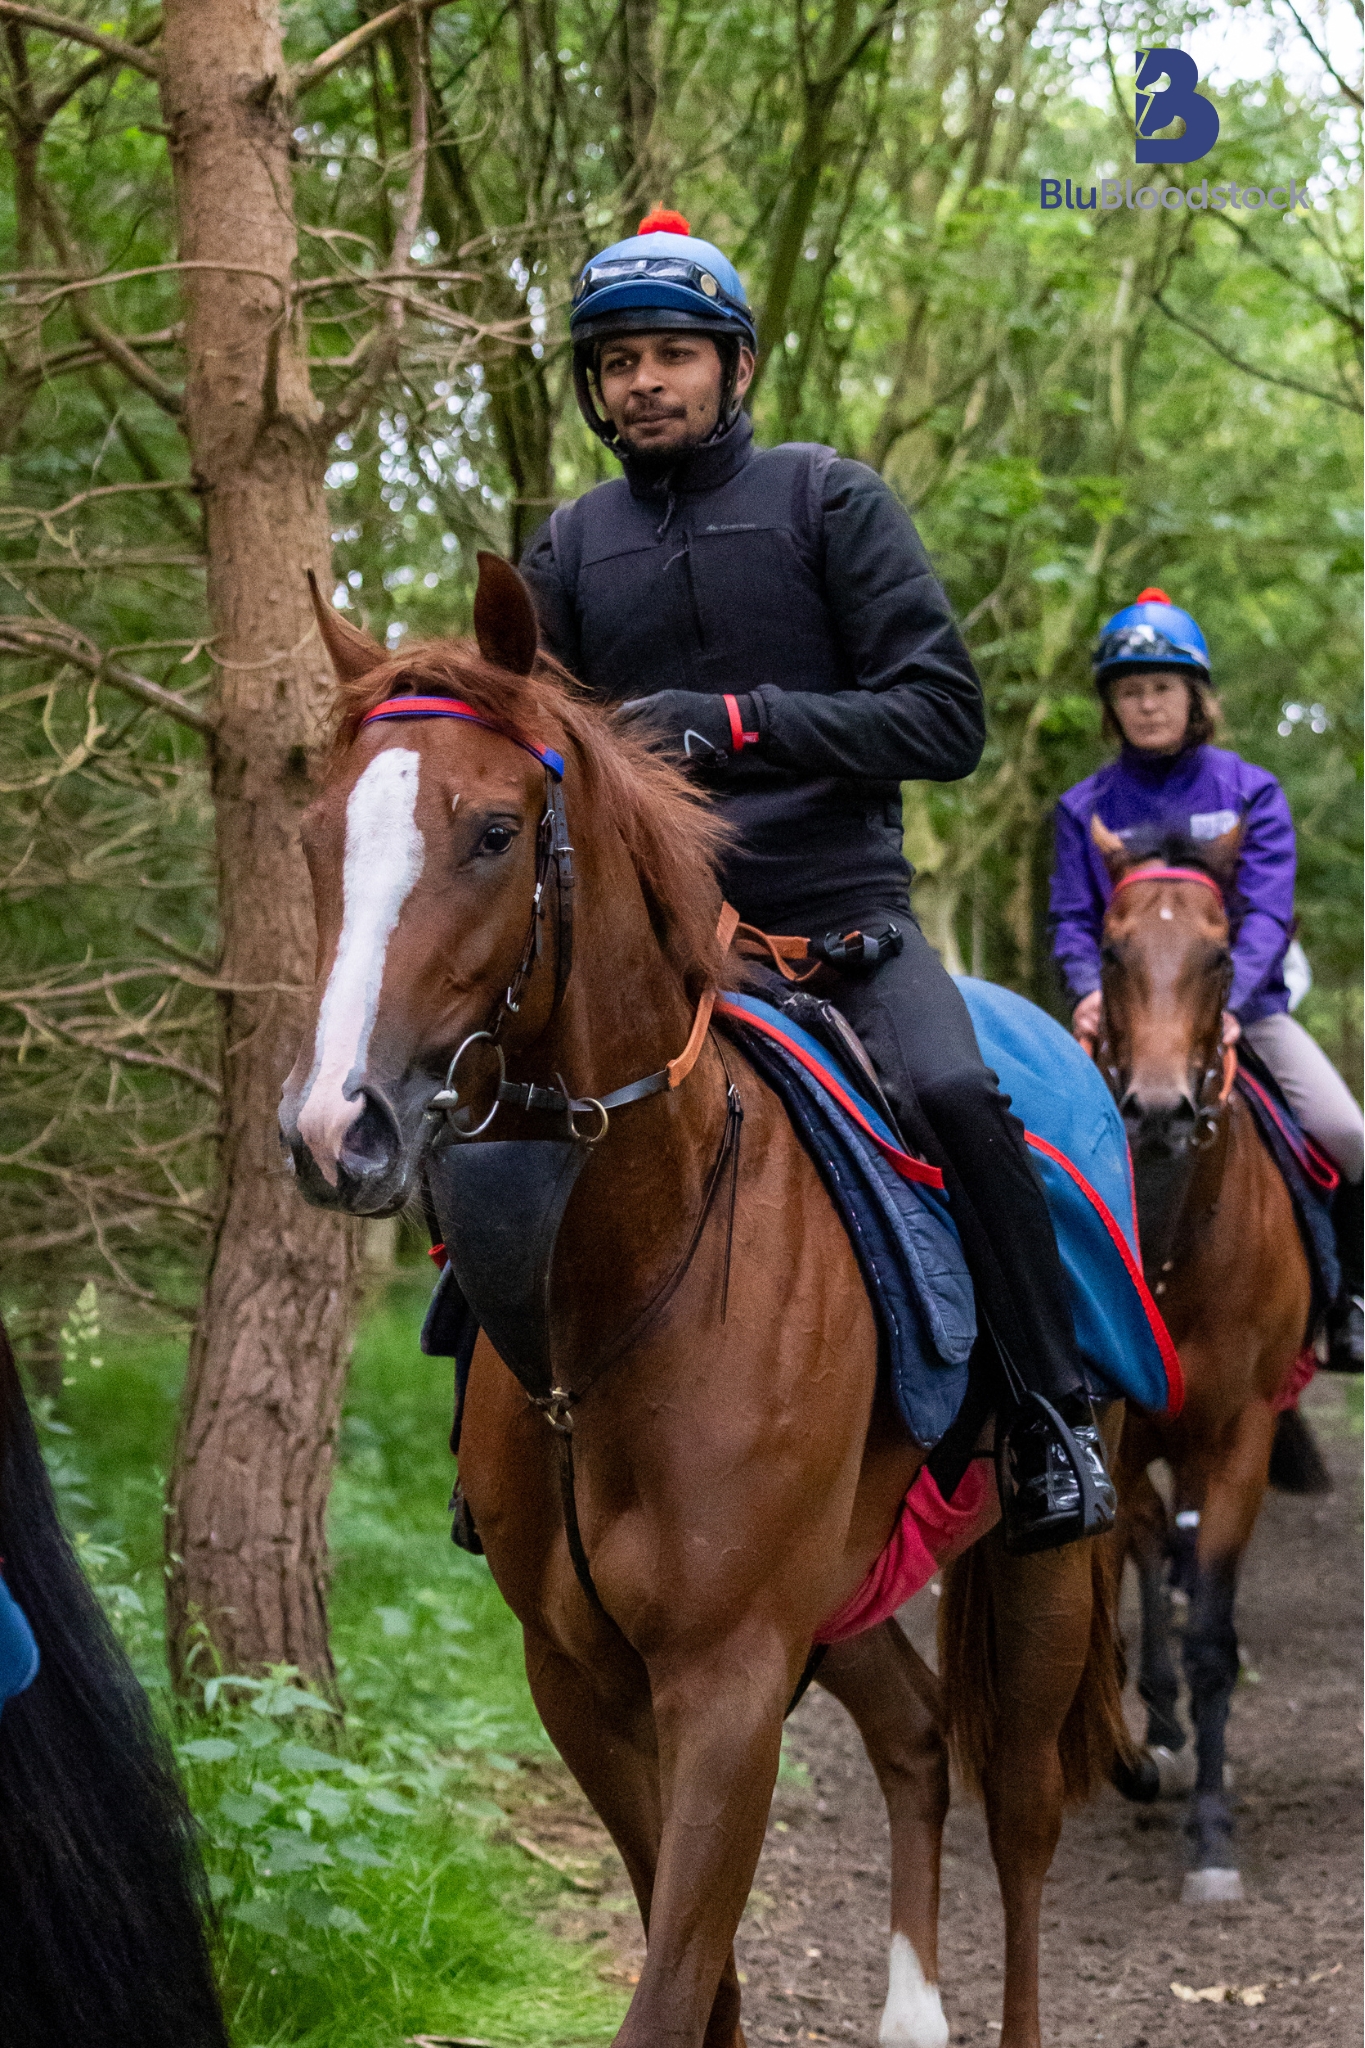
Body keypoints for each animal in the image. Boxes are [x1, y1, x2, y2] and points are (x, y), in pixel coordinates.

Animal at [282, 548, 1129, 2048]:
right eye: (321, 837)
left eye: (493, 832)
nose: (340, 1128)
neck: (627, 1278)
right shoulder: (580, 1677)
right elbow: (709, 1985)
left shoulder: (729, 1677)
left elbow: (677, 1986)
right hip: (847, 1585)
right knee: (916, 1733)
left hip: (1041, 1581)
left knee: (1020, 1818)